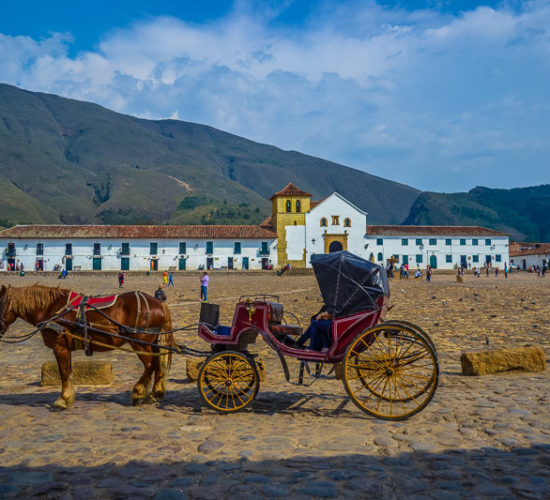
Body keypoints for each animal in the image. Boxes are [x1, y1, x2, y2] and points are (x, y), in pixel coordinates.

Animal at [0, 286, 176, 410]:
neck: (51, 309)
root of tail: (159, 303)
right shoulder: (65, 347)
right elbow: (69, 372)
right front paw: (69, 397)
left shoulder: (59, 345)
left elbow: (63, 372)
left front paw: (62, 400)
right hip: (151, 343)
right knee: (158, 365)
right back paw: (154, 393)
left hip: (140, 342)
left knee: (150, 365)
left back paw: (139, 393)